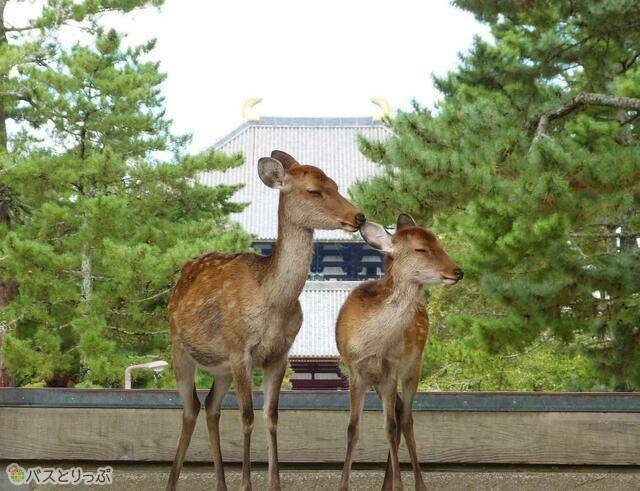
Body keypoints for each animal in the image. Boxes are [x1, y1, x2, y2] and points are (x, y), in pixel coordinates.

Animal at [165, 151, 364, 491]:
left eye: (336, 184)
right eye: (314, 190)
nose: (359, 217)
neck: (274, 304)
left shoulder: (279, 354)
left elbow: (271, 416)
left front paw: (275, 483)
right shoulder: (239, 350)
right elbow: (247, 416)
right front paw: (246, 483)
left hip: (221, 369)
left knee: (211, 406)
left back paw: (221, 484)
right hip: (179, 347)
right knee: (190, 408)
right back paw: (173, 482)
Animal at [336, 215, 464, 491]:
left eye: (438, 242)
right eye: (421, 249)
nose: (458, 271)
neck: (372, 344)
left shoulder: (391, 368)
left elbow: (390, 428)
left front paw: (399, 485)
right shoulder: (356, 371)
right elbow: (352, 429)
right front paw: (343, 485)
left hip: (413, 366)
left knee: (405, 419)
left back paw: (417, 484)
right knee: (399, 412)